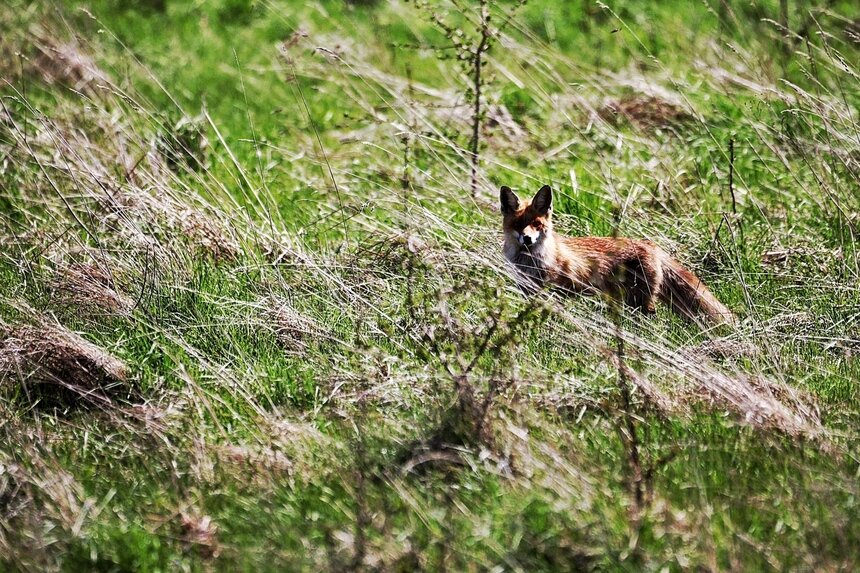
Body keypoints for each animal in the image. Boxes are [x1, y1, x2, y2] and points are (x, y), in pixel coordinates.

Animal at [500, 185, 736, 324]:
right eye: (518, 225)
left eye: (537, 224)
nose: (527, 239)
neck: (530, 261)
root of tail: (650, 244)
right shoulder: (527, 289)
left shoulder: (555, 289)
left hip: (640, 302)